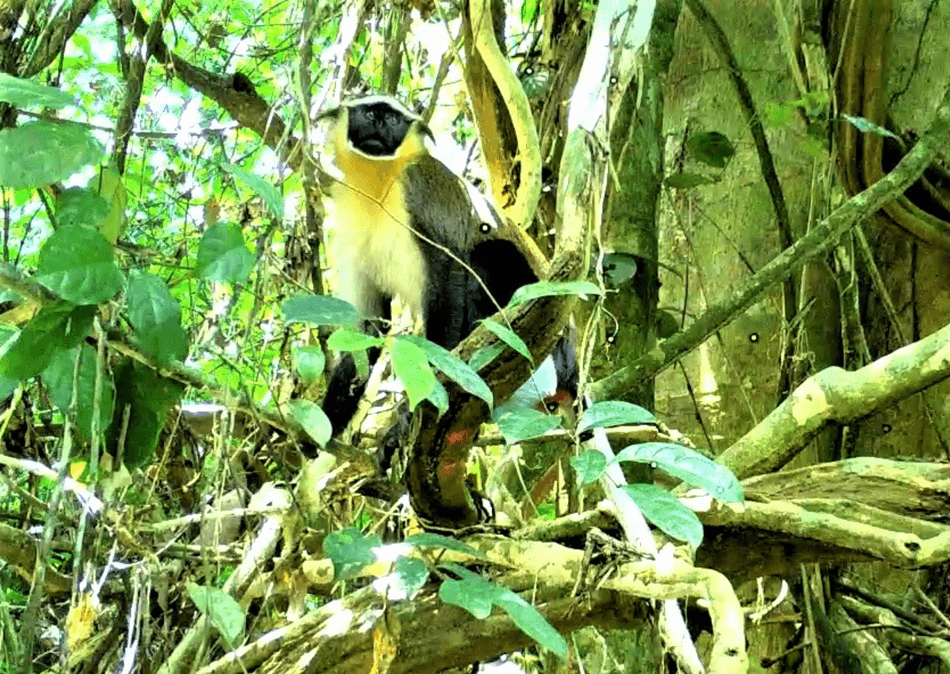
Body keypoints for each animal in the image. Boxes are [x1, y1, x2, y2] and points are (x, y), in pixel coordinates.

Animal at [316, 95, 578, 451]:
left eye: (393, 119)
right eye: (369, 113)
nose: (380, 123)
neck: (381, 181)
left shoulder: (420, 188)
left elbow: (451, 270)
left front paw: (410, 415)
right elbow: (367, 327)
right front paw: (320, 426)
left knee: (488, 254)